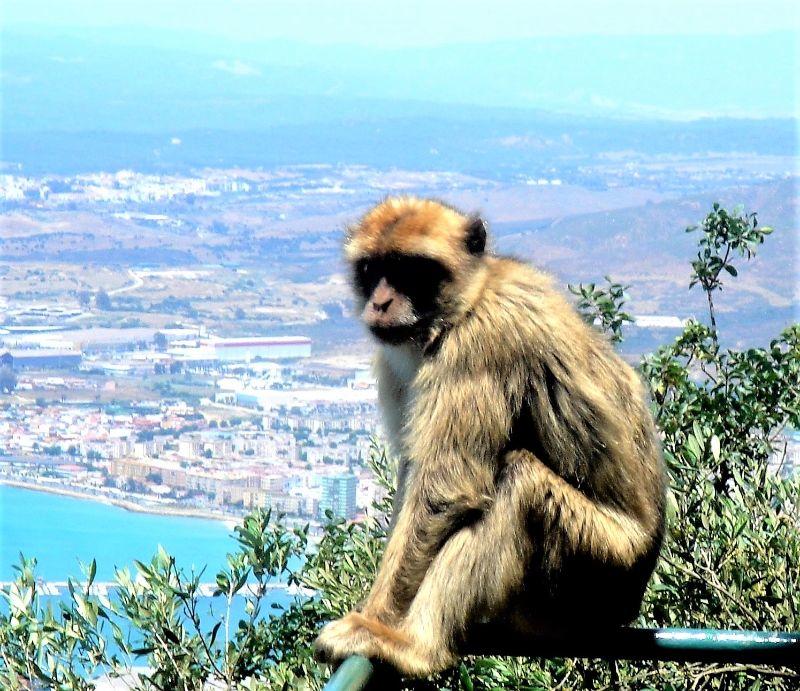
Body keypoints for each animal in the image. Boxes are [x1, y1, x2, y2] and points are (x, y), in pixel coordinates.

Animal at [312, 195, 668, 676]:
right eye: (373, 269)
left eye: (409, 270)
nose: (381, 302)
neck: (465, 303)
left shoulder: (479, 345)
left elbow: (445, 489)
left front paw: (376, 618)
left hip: (595, 573)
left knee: (518, 483)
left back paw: (417, 648)